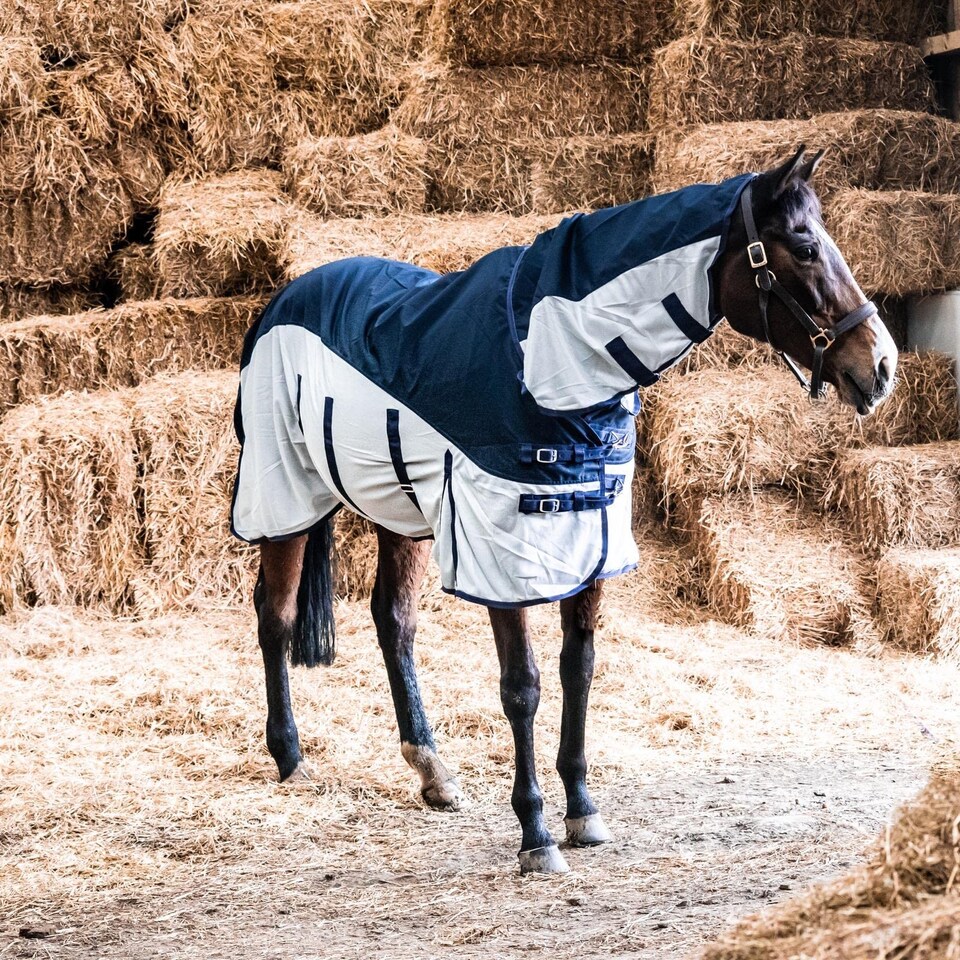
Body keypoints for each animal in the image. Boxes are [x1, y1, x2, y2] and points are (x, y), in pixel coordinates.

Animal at [231, 147, 898, 875]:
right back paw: (291, 758)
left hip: (399, 508)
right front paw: (536, 835)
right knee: (275, 616)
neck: (545, 361)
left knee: (393, 621)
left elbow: (578, 671)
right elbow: (521, 687)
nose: (882, 366)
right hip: (285, 494)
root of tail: (285, 299)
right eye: (804, 247)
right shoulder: (506, 558)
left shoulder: (590, 548)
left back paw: (431, 769)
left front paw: (582, 810)